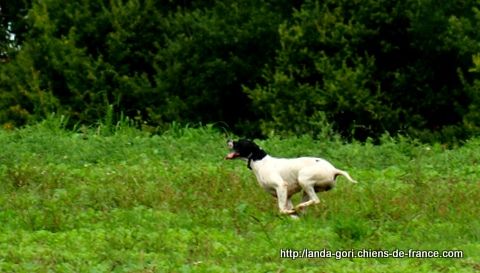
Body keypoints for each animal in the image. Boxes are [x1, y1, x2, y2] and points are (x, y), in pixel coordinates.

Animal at [225, 139, 356, 216]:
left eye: (238, 142)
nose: (228, 140)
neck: (260, 161)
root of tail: (334, 170)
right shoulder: (286, 195)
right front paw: (292, 213)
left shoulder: (281, 186)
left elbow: (282, 209)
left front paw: (288, 211)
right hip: (306, 189)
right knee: (306, 206)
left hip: (304, 180)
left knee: (315, 200)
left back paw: (300, 206)